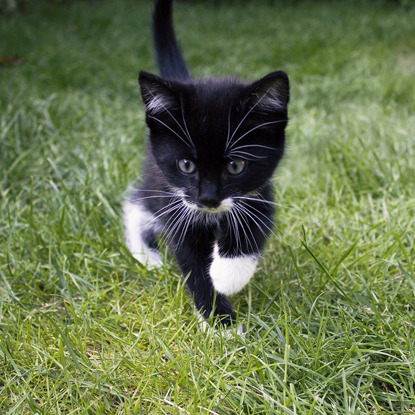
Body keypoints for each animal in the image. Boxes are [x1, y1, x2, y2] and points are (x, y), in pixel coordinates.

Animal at [125, 0, 290, 332]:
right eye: (187, 165)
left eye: (236, 166)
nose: (209, 199)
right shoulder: (178, 204)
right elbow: (191, 260)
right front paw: (221, 323)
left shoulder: (260, 190)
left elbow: (254, 226)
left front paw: (228, 274)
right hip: (157, 180)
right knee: (137, 204)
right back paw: (147, 255)